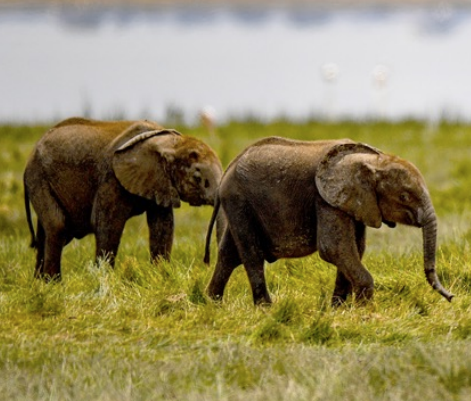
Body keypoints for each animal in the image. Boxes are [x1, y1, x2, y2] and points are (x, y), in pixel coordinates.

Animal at [24, 115, 224, 278]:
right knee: (58, 226)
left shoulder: (159, 181)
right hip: (38, 178)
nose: (206, 260)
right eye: (197, 178)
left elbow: (162, 226)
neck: (171, 142)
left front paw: (161, 276)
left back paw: (39, 282)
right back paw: (53, 283)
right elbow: (107, 224)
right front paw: (104, 280)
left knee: (46, 233)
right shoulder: (111, 178)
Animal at [205, 136, 456, 304]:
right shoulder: (325, 199)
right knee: (251, 254)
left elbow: (355, 248)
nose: (451, 296)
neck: (373, 159)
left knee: (229, 254)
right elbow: (334, 248)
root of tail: (228, 167)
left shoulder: (353, 202)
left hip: (239, 204)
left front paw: (339, 310)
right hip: (238, 200)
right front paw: (363, 311)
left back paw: (212, 303)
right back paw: (266, 308)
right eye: (404, 197)